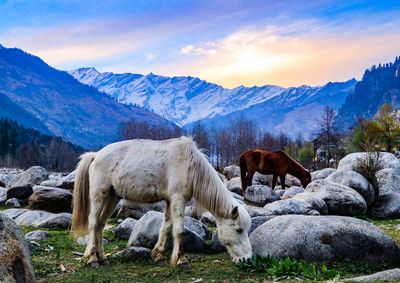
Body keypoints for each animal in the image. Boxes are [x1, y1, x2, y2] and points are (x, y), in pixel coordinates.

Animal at [71, 137, 252, 268]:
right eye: (238, 230)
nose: (248, 259)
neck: (190, 165)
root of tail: (95, 155)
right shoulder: (178, 199)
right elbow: (178, 230)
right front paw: (181, 261)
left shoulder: (170, 201)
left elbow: (166, 227)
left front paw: (159, 256)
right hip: (99, 197)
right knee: (93, 224)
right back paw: (93, 259)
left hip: (112, 198)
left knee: (100, 225)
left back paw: (102, 258)